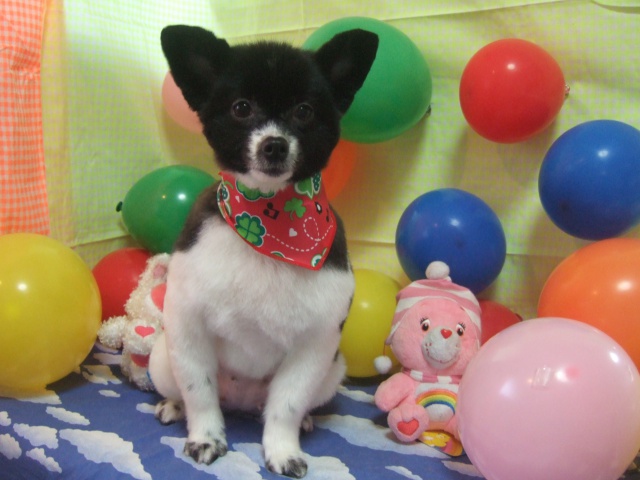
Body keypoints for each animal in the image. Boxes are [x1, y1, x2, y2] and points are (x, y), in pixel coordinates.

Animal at [147, 25, 378, 478]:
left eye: (304, 111)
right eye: (241, 108)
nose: (274, 145)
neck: (271, 224)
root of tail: (239, 401)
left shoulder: (316, 345)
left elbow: (286, 406)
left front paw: (283, 450)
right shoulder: (187, 325)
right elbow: (199, 392)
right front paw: (205, 438)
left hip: (333, 371)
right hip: (161, 359)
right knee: (187, 389)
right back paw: (172, 406)